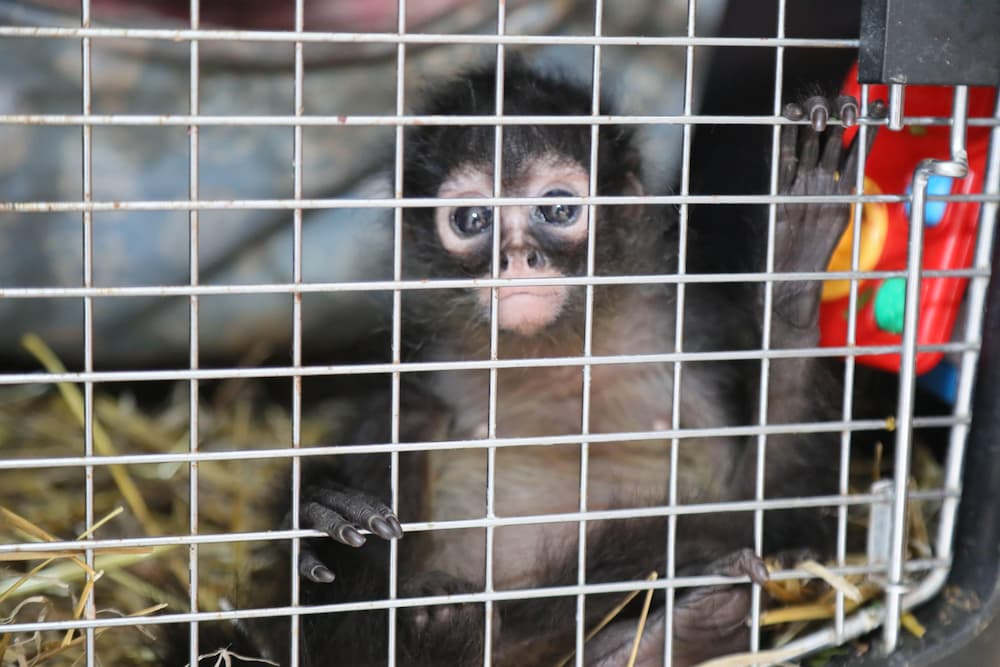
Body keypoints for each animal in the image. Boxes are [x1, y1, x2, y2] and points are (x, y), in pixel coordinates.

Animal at [166, 60, 883, 667]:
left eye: (559, 208)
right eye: (472, 219)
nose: (516, 258)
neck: (557, 355)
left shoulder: (698, 336)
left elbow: (775, 504)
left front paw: (794, 262)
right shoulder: (410, 370)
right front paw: (319, 521)